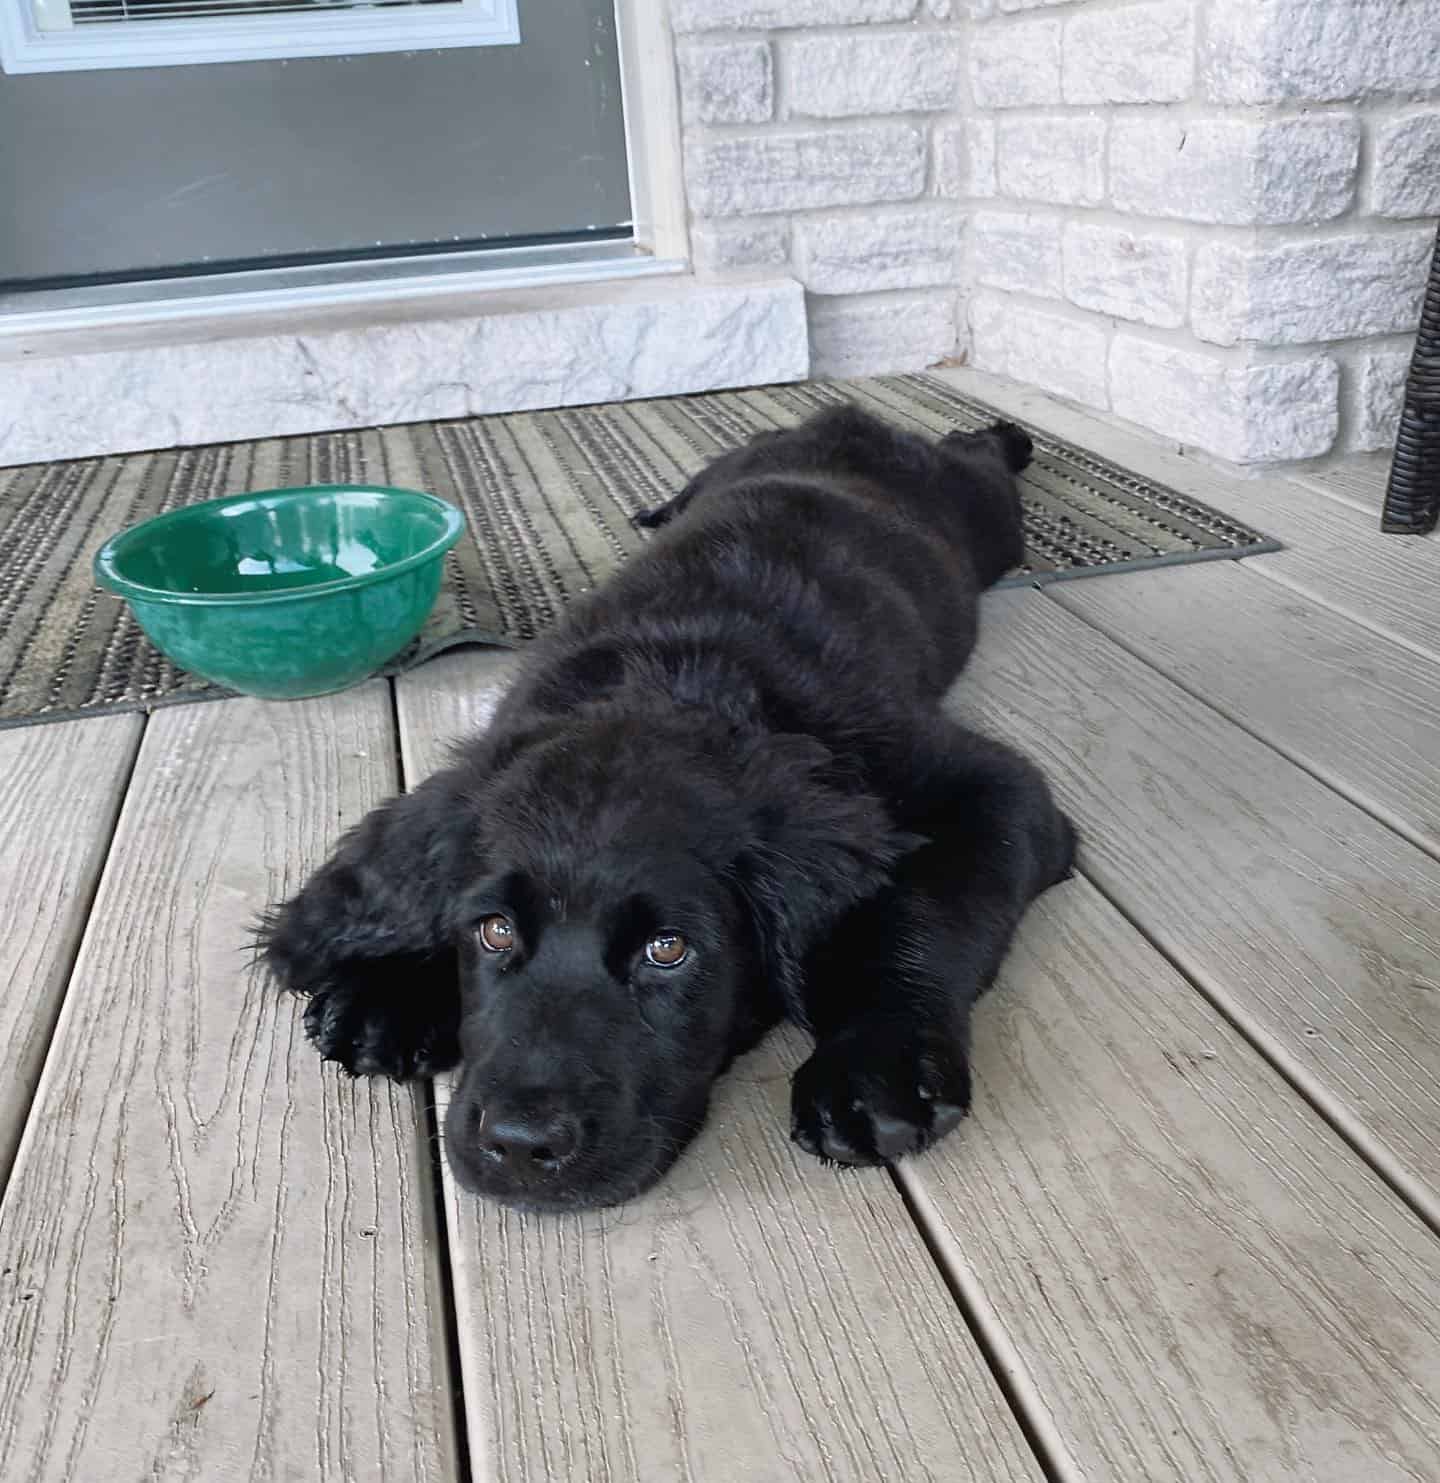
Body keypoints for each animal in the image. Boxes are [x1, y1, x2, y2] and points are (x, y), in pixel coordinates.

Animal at [259, 403, 1067, 1204]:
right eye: (492, 930)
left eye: (668, 949)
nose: (519, 1145)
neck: (670, 685)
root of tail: (848, 419)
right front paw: (385, 989)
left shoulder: (986, 785)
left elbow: (927, 911)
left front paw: (878, 1061)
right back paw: (658, 506)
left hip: (983, 513)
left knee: (979, 458)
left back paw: (1003, 434)